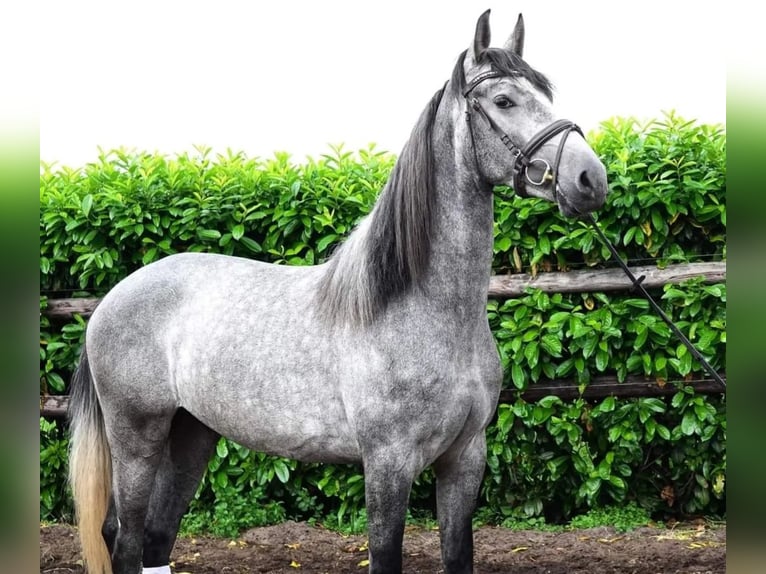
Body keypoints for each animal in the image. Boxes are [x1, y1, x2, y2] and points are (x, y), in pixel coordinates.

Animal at [68, 9, 607, 574]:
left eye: (545, 93)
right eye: (504, 101)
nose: (592, 178)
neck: (422, 312)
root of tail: (111, 299)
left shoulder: (464, 459)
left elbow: (458, 554)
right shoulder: (388, 463)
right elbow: (385, 555)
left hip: (191, 434)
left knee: (155, 537)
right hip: (137, 436)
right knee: (124, 538)